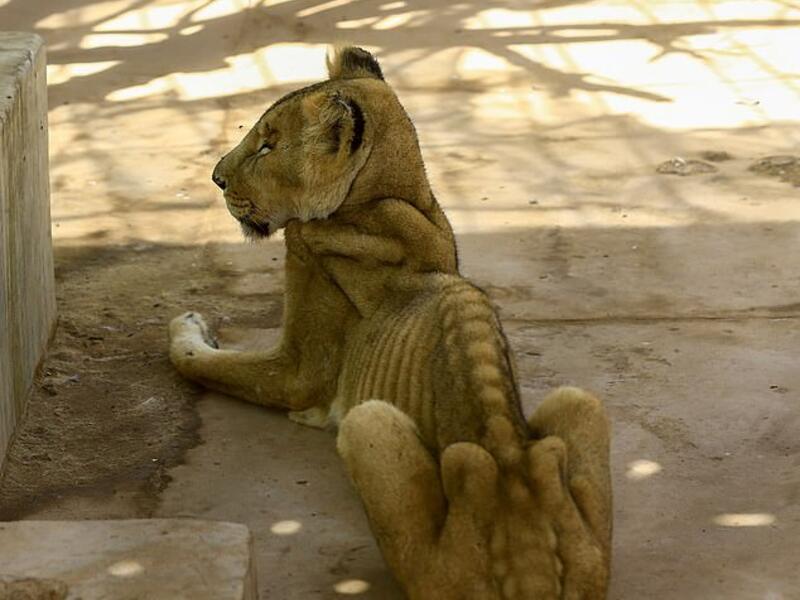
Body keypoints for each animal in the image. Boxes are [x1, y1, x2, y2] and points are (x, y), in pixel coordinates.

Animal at [169, 46, 612, 599]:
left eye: (268, 146)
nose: (216, 178)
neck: (391, 200)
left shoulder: (298, 370)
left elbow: (198, 361)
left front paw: (185, 324)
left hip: (369, 425)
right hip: (581, 410)